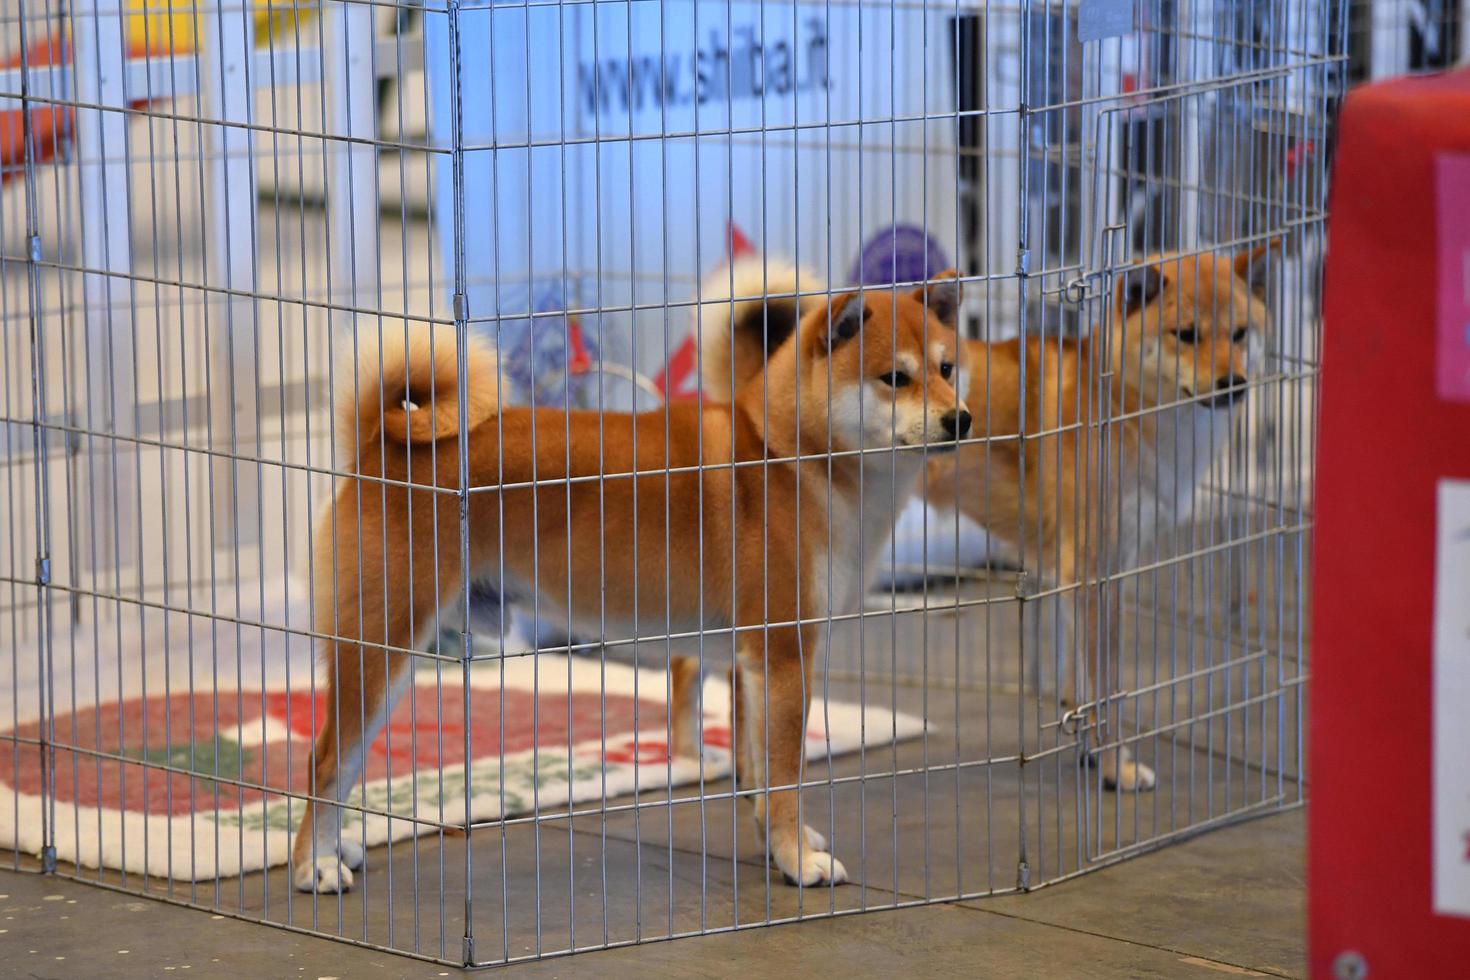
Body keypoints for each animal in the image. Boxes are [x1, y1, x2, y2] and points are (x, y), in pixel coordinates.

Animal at [291, 271, 970, 893]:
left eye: (947, 368)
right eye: (894, 377)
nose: (960, 419)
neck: (790, 457)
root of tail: (375, 451)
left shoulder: (757, 663)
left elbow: (760, 774)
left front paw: (782, 844)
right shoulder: (784, 654)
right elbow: (785, 776)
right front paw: (799, 863)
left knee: (341, 764)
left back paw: (336, 848)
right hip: (382, 651)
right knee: (324, 760)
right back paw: (313, 867)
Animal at [702, 245, 1275, 787]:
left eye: (1240, 333)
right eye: (1186, 335)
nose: (1233, 383)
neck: (1122, 406)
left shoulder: (1089, 575)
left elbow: (1082, 683)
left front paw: (1090, 751)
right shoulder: (1090, 572)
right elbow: (1106, 689)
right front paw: (1117, 767)